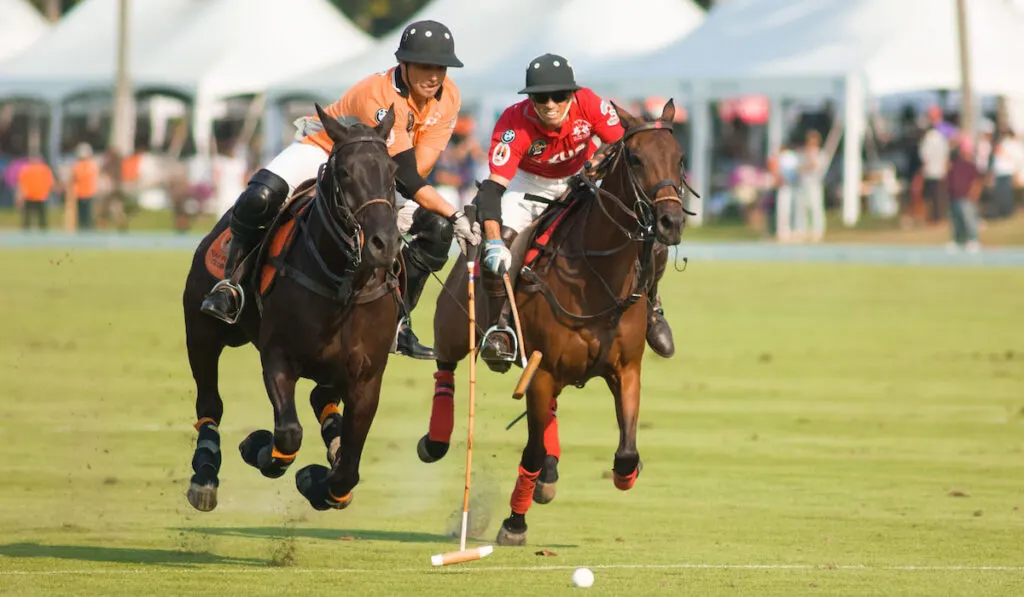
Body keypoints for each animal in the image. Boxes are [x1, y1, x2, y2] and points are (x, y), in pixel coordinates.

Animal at [182, 102, 401, 514]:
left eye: (393, 173)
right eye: (344, 172)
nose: (385, 244)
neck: (342, 285)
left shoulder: (368, 378)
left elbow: (348, 467)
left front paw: (320, 482)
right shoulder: (278, 356)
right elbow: (287, 434)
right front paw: (257, 446)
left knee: (321, 401)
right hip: (201, 331)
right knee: (209, 402)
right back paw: (204, 473)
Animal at [423, 100, 688, 544]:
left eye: (681, 157)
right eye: (635, 159)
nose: (671, 222)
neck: (597, 274)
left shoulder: (626, 369)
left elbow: (626, 452)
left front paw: (624, 473)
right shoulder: (543, 369)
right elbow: (530, 452)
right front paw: (514, 523)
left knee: (549, 414)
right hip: (456, 321)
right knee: (445, 366)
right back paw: (435, 440)